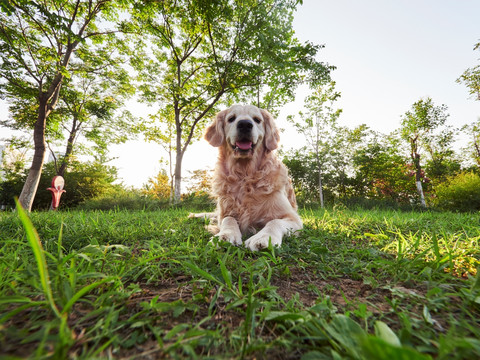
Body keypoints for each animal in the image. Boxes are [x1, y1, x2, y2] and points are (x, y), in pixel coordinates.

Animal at [190, 104, 300, 250]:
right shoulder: (225, 213)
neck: (245, 175)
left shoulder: (293, 218)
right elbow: (228, 219)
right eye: (231, 118)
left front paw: (264, 238)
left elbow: (274, 222)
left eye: (257, 120)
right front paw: (225, 235)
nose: (245, 124)